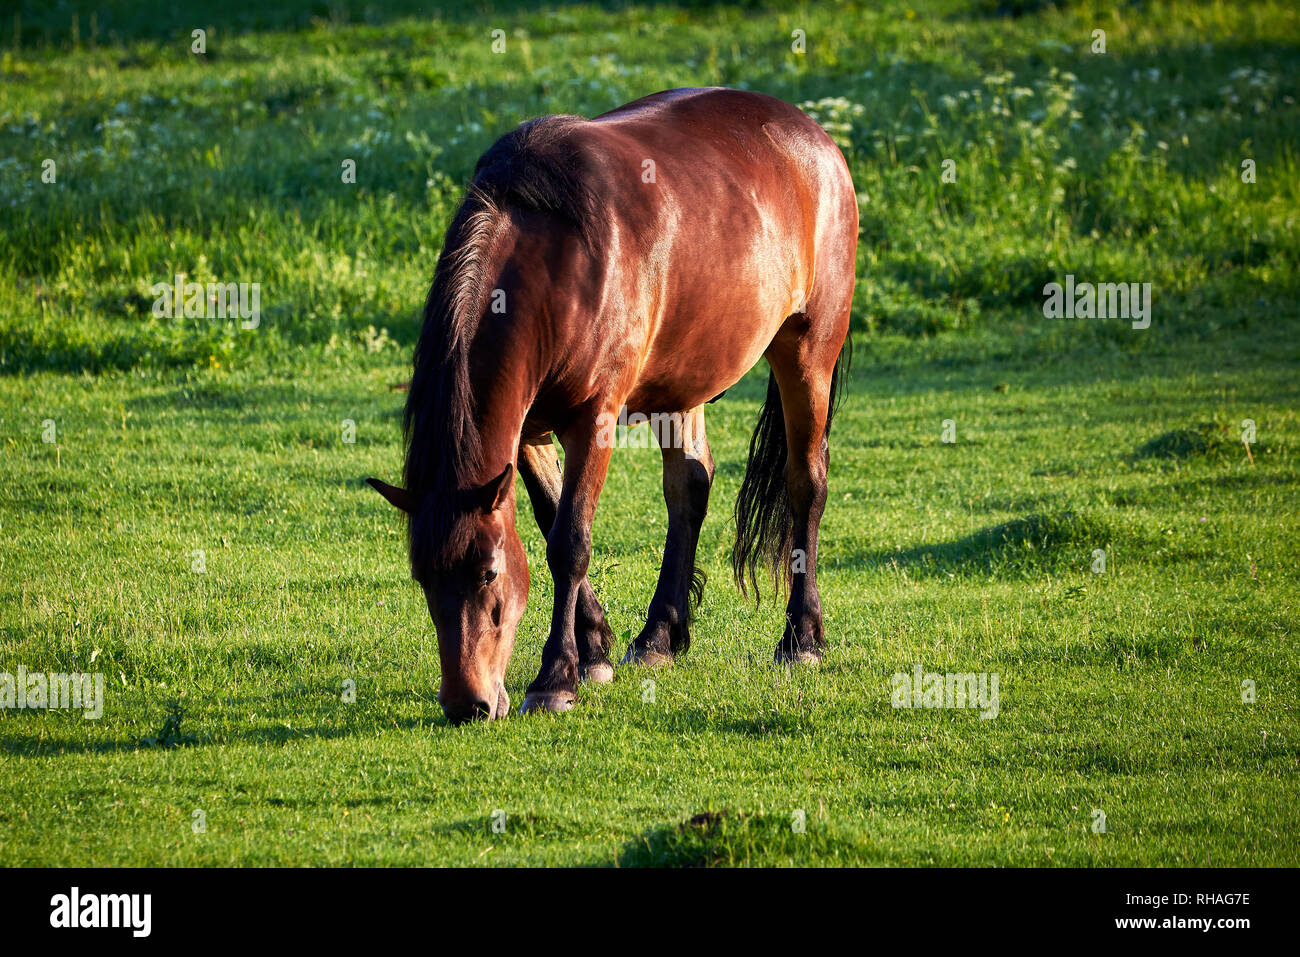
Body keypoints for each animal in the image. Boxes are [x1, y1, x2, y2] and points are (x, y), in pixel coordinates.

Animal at [367, 87, 857, 724]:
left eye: (487, 573)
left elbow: (570, 541)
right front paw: (594, 646)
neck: (553, 259)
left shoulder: (593, 418)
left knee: (806, 485)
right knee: (690, 488)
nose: (466, 704)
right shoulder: (529, 431)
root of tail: (815, 137)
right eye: (423, 579)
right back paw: (659, 637)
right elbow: (551, 518)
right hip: (683, 382)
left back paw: (801, 638)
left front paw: (555, 677)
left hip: (808, 353)